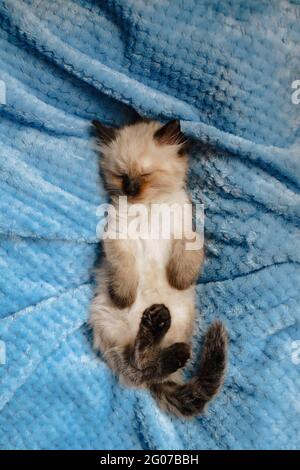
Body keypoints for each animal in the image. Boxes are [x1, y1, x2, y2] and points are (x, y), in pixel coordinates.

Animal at [89, 118, 227, 418]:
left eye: (145, 174)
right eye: (121, 176)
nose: (130, 190)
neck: (148, 207)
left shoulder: (187, 232)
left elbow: (188, 255)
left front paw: (179, 280)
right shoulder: (117, 237)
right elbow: (125, 271)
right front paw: (124, 296)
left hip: (180, 317)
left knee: (147, 365)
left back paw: (163, 331)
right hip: (109, 323)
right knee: (138, 365)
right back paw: (157, 326)